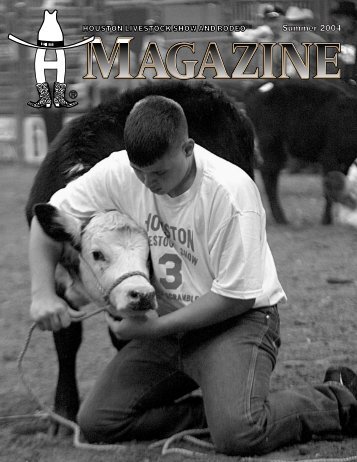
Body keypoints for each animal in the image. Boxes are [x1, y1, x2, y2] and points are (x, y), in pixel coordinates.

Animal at [243, 81, 356, 226]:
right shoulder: (330, 158)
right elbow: (330, 188)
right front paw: (326, 220)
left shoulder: (346, 161)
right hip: (272, 144)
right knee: (269, 174)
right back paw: (281, 218)